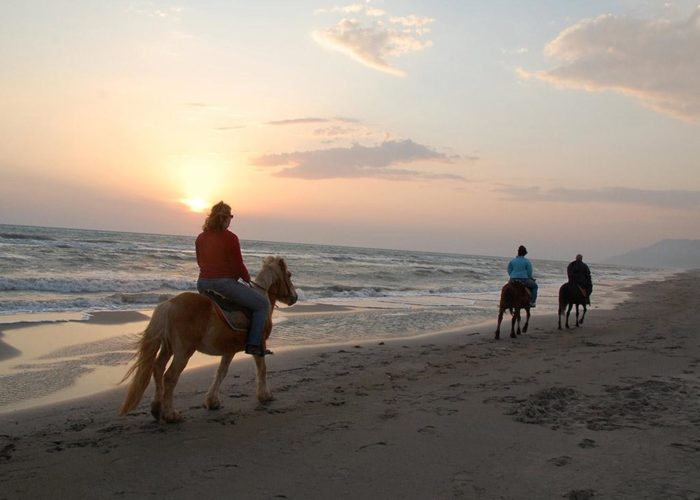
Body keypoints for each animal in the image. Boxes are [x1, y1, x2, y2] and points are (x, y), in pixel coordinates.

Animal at [118, 256, 298, 424]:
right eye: (289, 275)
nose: (294, 298)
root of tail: (169, 304)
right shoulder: (258, 345)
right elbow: (262, 369)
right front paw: (265, 396)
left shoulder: (229, 350)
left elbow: (221, 372)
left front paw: (212, 401)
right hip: (183, 351)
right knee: (169, 377)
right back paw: (171, 415)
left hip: (168, 347)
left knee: (158, 369)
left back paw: (156, 408)